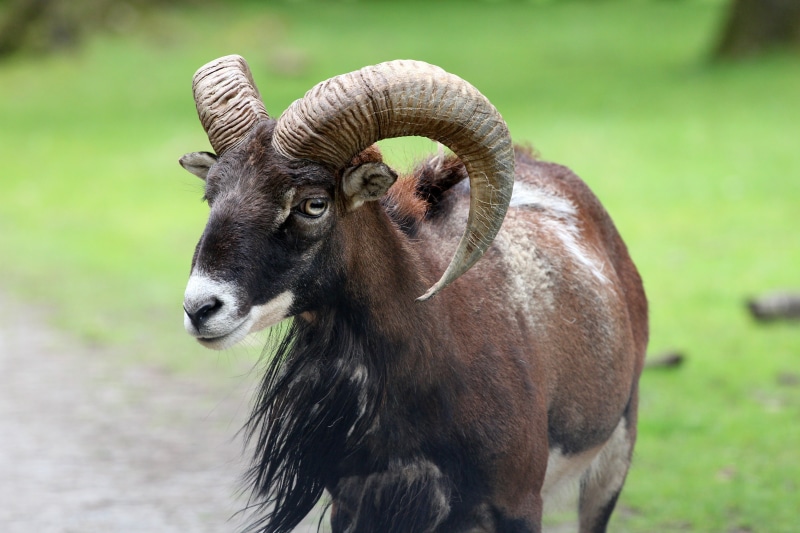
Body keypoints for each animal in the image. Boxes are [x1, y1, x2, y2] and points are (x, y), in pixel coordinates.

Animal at [178, 56, 647, 533]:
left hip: (612, 462)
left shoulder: (517, 505)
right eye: (211, 195)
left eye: (313, 204)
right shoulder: (355, 505)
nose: (200, 309)